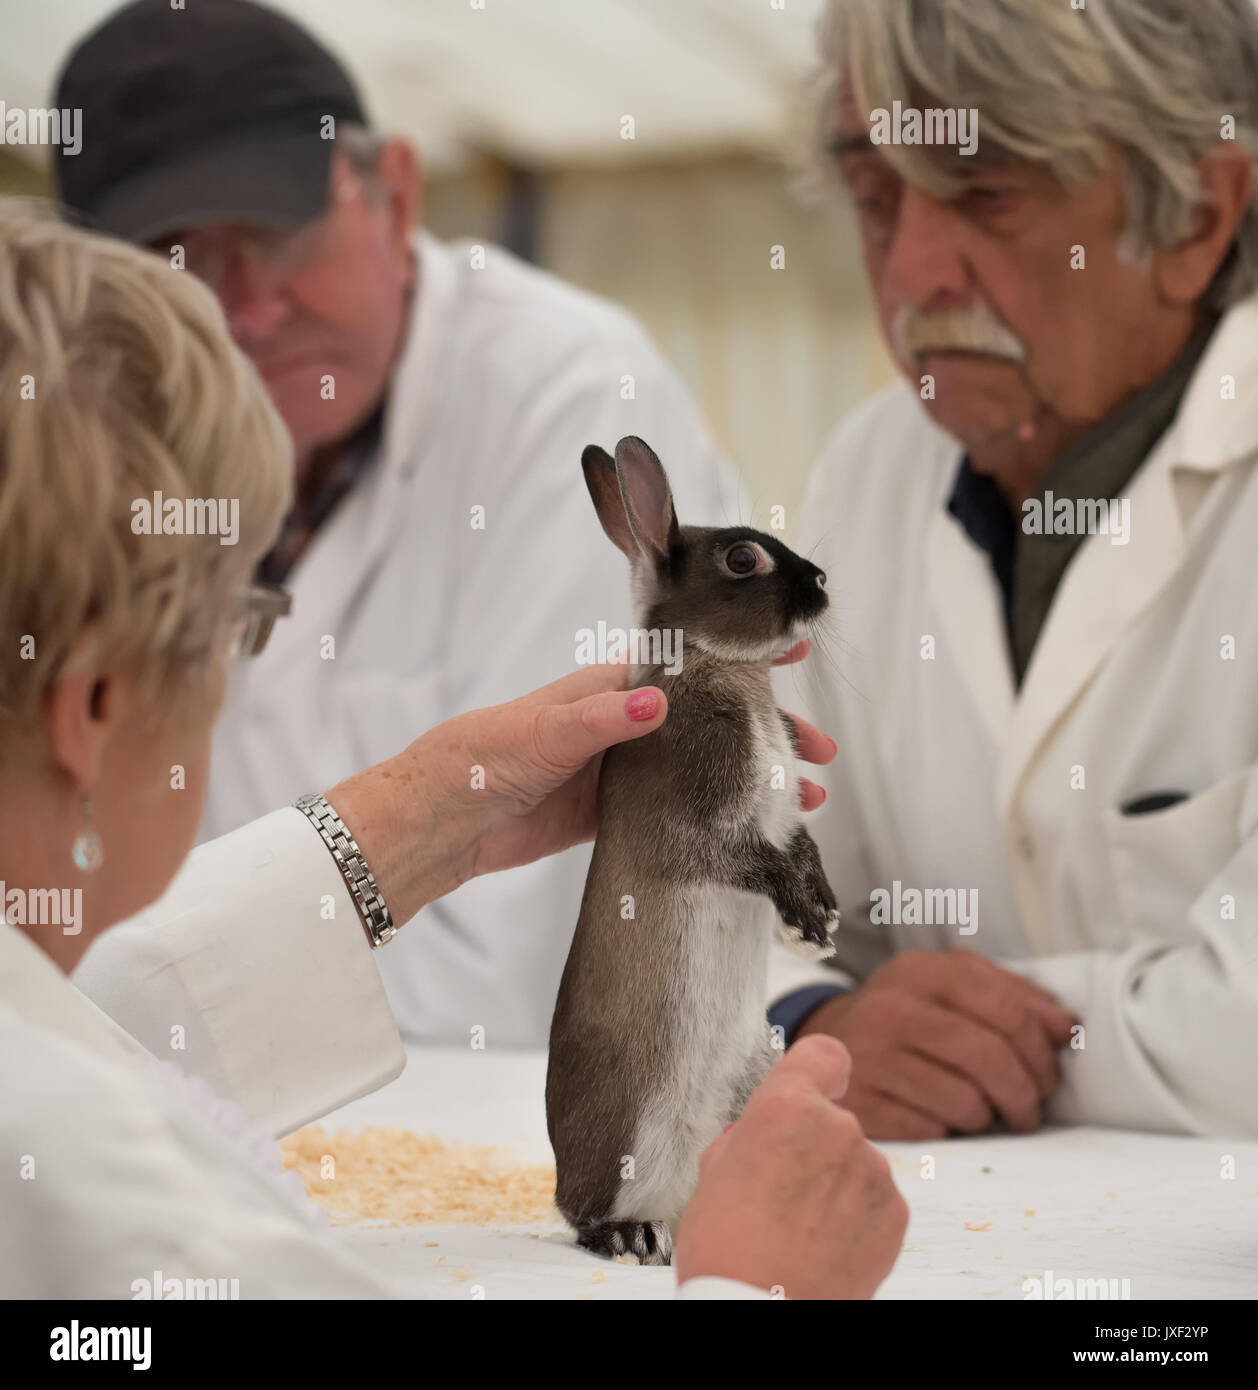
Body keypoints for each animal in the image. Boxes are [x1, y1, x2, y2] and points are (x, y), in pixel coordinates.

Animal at [545, 435, 839, 1266]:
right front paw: (806, 923)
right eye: (742, 559)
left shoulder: (785, 816)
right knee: (585, 1213)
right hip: (632, 1129)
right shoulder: (708, 824)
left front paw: (823, 919)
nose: (822, 582)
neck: (720, 666)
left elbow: (801, 850)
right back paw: (634, 1236)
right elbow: (757, 863)